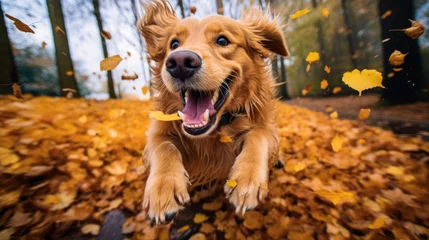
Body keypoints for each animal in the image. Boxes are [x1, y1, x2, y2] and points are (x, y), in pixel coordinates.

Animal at [140, 0, 288, 225]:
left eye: (222, 40)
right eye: (174, 44)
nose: (180, 62)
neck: (216, 129)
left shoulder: (263, 123)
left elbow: (258, 135)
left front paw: (246, 180)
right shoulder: (158, 129)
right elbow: (164, 147)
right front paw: (162, 190)